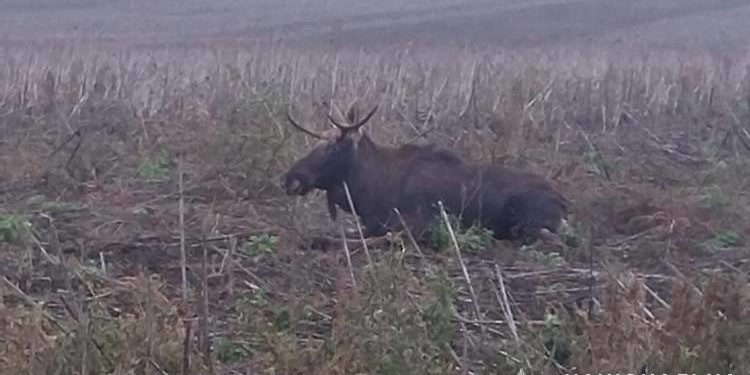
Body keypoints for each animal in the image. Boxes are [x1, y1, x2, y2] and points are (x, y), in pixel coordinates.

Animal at [282, 102, 568, 247]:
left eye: (334, 149)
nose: (291, 178)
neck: (369, 191)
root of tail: (564, 202)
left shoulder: (421, 223)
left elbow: (375, 239)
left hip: (527, 217)